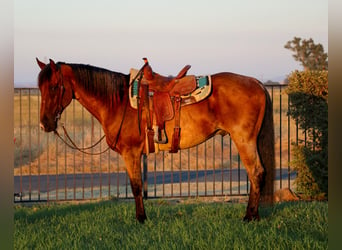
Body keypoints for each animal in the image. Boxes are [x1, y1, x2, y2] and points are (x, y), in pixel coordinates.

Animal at [36, 58, 276, 223]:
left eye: (55, 86)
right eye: (40, 88)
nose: (44, 124)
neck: (118, 101)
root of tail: (256, 82)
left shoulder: (131, 153)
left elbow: (136, 187)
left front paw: (141, 219)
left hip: (244, 140)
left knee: (256, 173)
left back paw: (249, 216)